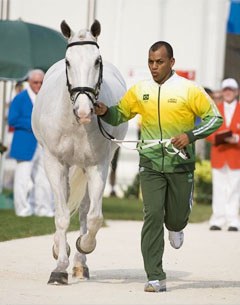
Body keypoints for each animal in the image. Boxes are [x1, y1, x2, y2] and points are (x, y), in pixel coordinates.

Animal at [32, 20, 128, 284]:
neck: (74, 123)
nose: (84, 111)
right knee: (63, 204)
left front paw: (83, 246)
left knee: (85, 211)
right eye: (68, 61)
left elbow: (94, 217)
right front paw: (59, 267)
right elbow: (62, 215)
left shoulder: (97, 166)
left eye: (97, 60)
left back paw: (79, 264)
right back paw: (60, 249)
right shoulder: (55, 163)